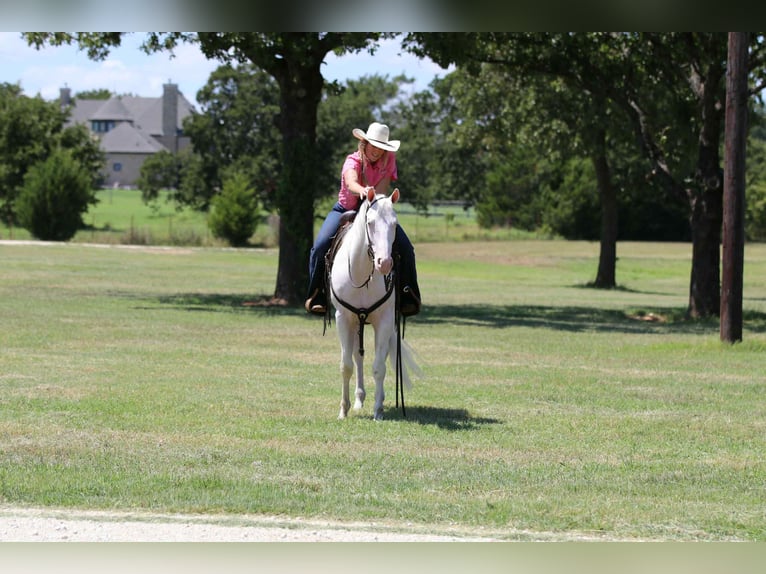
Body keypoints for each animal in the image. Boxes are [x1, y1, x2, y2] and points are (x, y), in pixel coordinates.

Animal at [328, 186, 418, 420]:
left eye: (395, 224)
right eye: (370, 223)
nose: (384, 263)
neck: (362, 274)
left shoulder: (385, 320)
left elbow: (379, 366)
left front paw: (378, 410)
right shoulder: (343, 319)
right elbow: (346, 366)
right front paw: (343, 410)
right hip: (356, 324)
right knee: (356, 357)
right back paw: (359, 400)